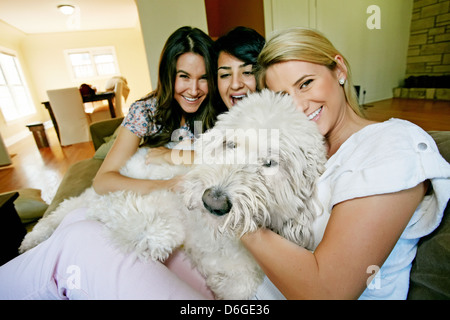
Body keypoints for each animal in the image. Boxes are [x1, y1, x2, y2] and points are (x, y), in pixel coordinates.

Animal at [19, 90, 326, 300]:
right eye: (230, 144)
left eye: (270, 163)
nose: (213, 201)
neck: (217, 234)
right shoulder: (168, 197)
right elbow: (149, 226)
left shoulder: (241, 274)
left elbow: (238, 285)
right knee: (72, 206)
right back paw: (34, 236)